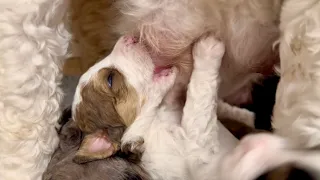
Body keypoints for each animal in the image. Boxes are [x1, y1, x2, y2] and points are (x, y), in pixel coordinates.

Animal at [71, 33, 245, 179]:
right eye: (110, 79)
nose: (129, 36)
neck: (154, 122)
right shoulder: (197, 148)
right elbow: (199, 99)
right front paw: (208, 49)